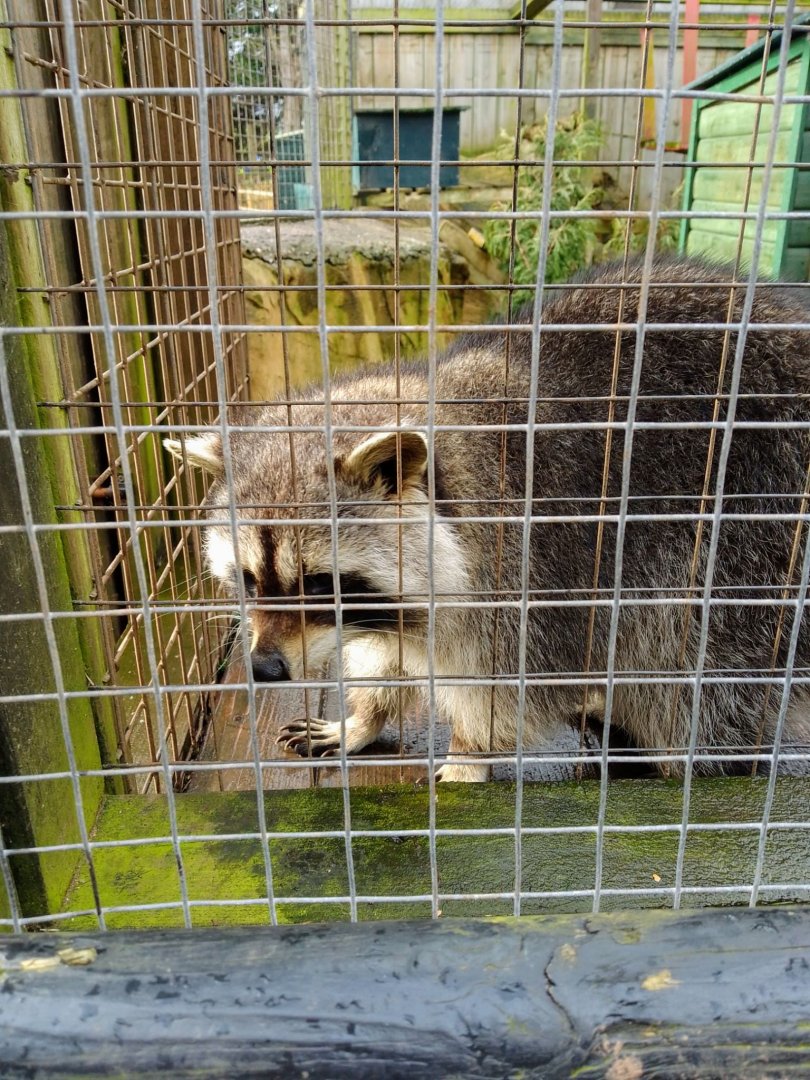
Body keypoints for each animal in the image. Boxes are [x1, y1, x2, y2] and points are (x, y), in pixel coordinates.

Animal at [167, 257, 810, 781]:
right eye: (249, 580)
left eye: (322, 584)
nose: (265, 668)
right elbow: (389, 655)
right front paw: (365, 717)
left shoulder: (539, 569)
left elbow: (507, 689)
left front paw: (468, 757)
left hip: (755, 540)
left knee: (699, 674)